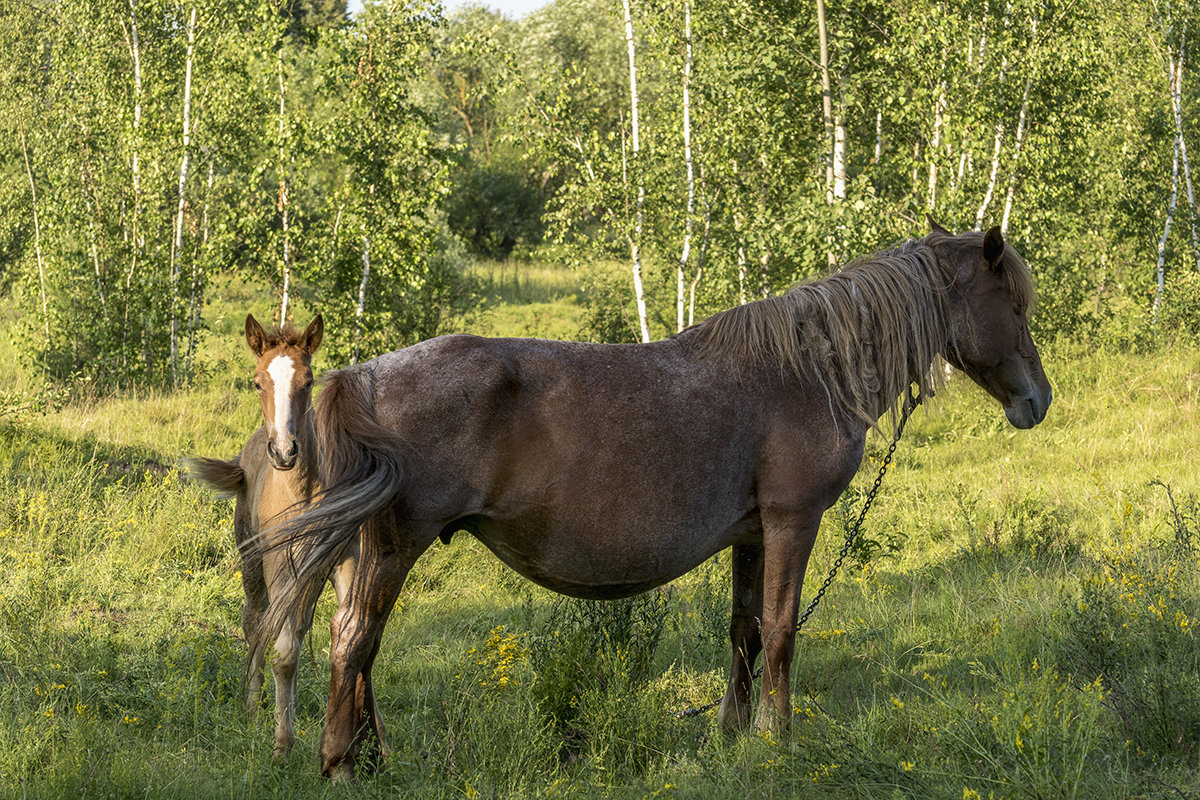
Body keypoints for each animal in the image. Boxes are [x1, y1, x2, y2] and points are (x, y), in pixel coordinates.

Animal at [194, 316, 384, 762]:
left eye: (309, 381)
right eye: (257, 382)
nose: (284, 452)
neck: (305, 490)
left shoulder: (341, 561)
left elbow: (346, 637)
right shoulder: (280, 566)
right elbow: (282, 653)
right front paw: (283, 744)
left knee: (293, 630)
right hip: (253, 562)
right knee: (255, 623)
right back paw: (252, 708)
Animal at [250, 220, 1051, 782]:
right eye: (1013, 304)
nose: (1036, 402)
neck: (808, 370)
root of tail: (363, 377)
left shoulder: (752, 534)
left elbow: (745, 631)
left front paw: (733, 734)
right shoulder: (793, 521)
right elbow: (782, 631)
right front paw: (777, 737)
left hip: (363, 553)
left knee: (356, 652)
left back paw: (368, 754)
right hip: (393, 549)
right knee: (355, 643)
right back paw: (341, 764)